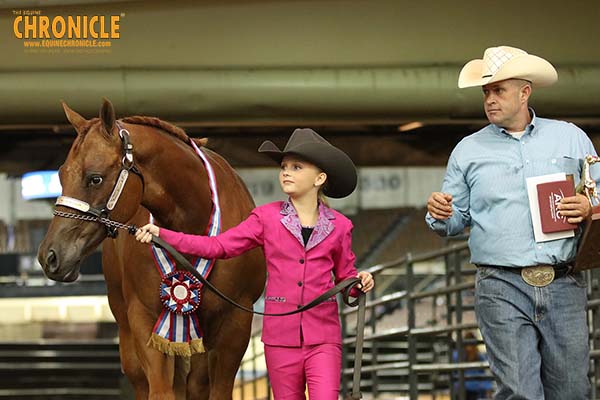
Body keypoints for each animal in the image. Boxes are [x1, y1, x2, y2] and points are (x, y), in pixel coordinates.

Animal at [35, 98, 264, 398]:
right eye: (61, 174)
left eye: (95, 178)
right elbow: (160, 389)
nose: (49, 256)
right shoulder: (146, 321)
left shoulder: (235, 326)